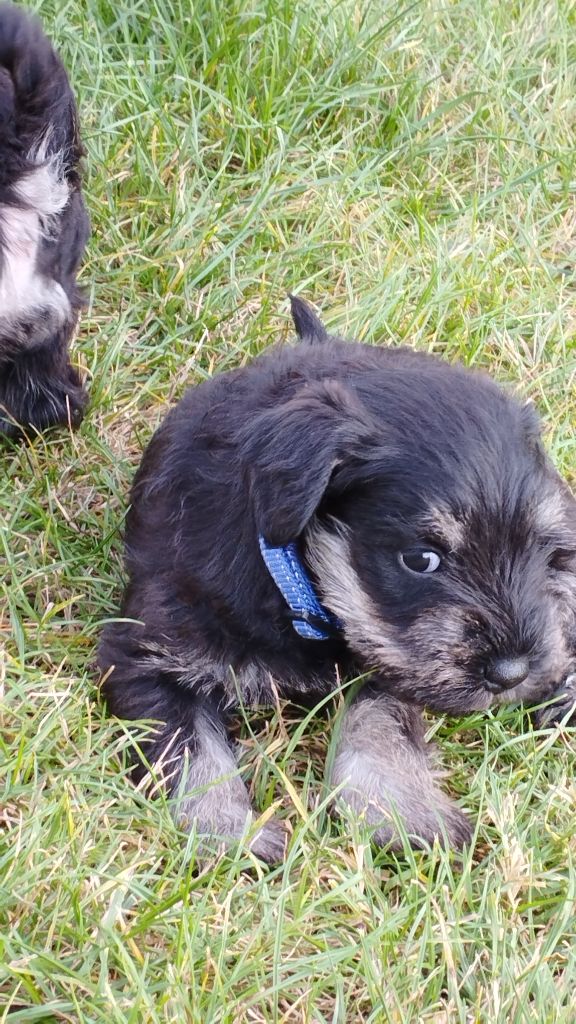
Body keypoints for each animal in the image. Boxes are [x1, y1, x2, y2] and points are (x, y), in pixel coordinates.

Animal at [99, 296, 576, 860]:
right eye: (421, 559)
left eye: (541, 549)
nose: (511, 675)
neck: (291, 582)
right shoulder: (146, 654)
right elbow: (190, 748)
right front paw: (231, 834)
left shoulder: (389, 659)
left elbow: (376, 721)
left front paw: (396, 812)